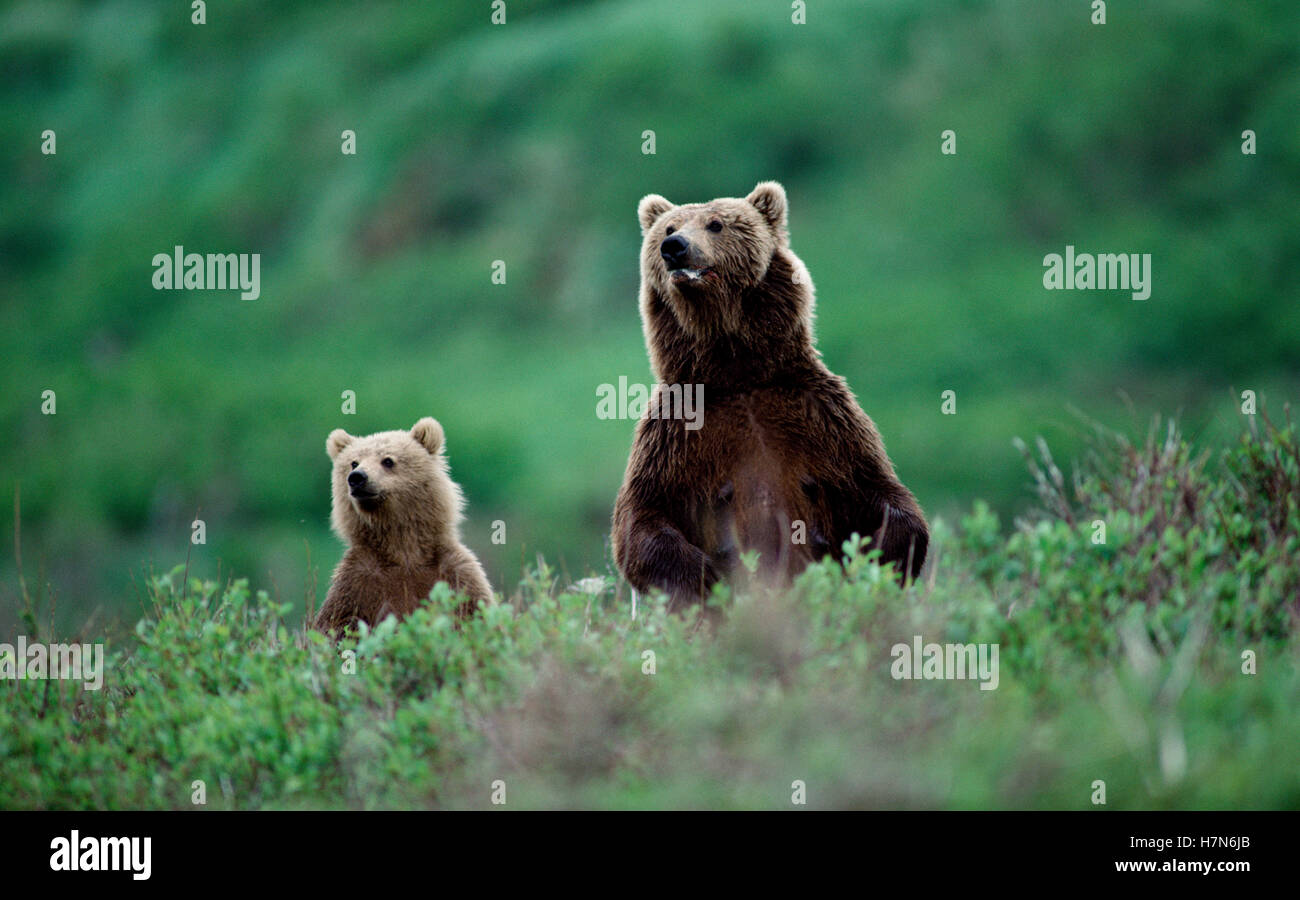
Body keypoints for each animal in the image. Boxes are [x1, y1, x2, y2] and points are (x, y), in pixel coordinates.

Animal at [313, 417, 494, 636]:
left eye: (388, 460)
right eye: (353, 462)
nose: (357, 477)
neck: (404, 551)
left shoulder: (456, 573)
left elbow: (475, 612)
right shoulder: (358, 582)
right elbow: (337, 626)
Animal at [611, 181, 928, 612]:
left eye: (716, 224)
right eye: (669, 227)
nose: (674, 246)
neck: (738, 374)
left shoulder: (824, 417)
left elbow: (880, 493)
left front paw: (878, 561)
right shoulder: (674, 431)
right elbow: (642, 520)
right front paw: (706, 581)